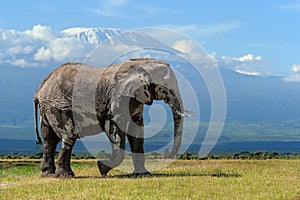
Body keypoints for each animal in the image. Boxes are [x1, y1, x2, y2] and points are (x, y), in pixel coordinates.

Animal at [34, 57, 186, 177]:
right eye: (166, 85)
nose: (168, 152)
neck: (141, 63)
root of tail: (40, 90)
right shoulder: (118, 98)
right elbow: (114, 127)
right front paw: (101, 168)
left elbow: (137, 131)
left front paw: (143, 174)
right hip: (59, 106)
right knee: (69, 135)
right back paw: (66, 176)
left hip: (47, 110)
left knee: (49, 140)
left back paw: (48, 175)